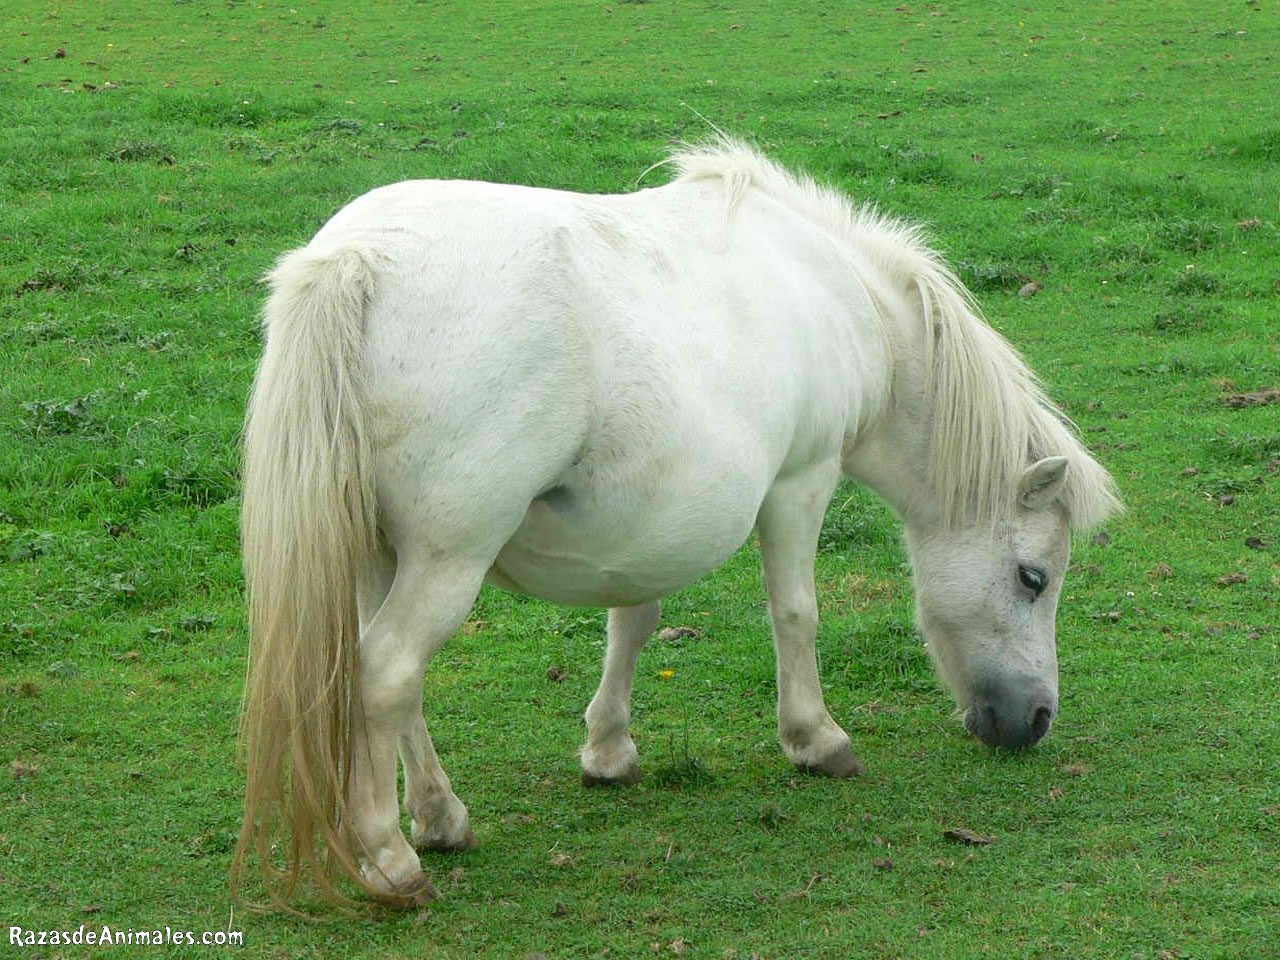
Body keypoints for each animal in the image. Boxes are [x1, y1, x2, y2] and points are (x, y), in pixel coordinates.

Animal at [230, 140, 1120, 908]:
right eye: (1034, 578)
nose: (1035, 721)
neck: (834, 291)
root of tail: (356, 259)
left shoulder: (644, 521)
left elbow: (634, 618)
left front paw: (609, 751)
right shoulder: (801, 481)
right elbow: (796, 614)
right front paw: (816, 739)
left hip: (383, 555)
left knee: (387, 679)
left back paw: (442, 818)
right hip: (448, 559)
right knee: (386, 672)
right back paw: (390, 858)